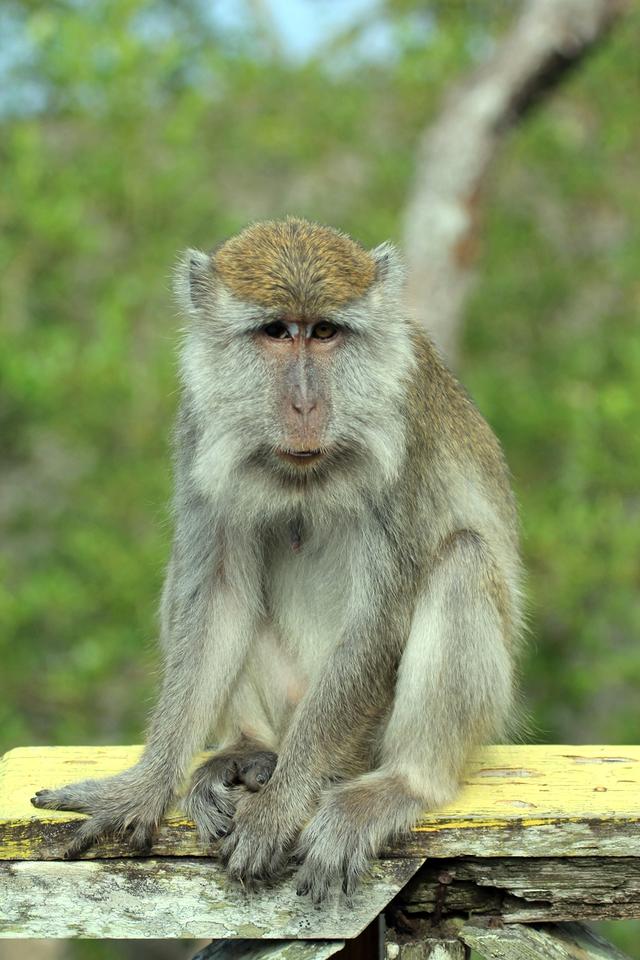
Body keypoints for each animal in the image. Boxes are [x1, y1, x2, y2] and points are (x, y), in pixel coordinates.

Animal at [31, 216, 520, 900]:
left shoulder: (408, 430)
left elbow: (378, 621)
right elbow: (216, 595)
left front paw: (281, 807)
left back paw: (399, 784)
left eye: (324, 332)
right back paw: (247, 749)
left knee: (463, 561)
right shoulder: (199, 425)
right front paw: (143, 788)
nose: (305, 405)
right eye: (275, 332)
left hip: (364, 739)